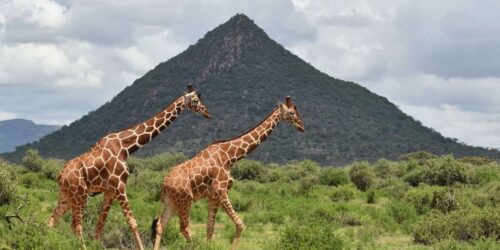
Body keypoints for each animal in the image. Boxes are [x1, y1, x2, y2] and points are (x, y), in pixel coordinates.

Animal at [47, 84, 210, 250]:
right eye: (195, 100)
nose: (207, 112)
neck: (125, 148)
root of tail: (61, 175)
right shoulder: (119, 186)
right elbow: (133, 223)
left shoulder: (110, 191)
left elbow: (100, 227)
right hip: (79, 195)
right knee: (76, 225)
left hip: (66, 196)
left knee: (52, 220)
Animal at [150, 96, 302, 250]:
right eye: (291, 112)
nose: (301, 126)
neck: (229, 157)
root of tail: (164, 183)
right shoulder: (221, 191)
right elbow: (240, 224)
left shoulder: (213, 196)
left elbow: (210, 229)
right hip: (186, 199)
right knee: (184, 228)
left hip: (171, 201)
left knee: (160, 225)